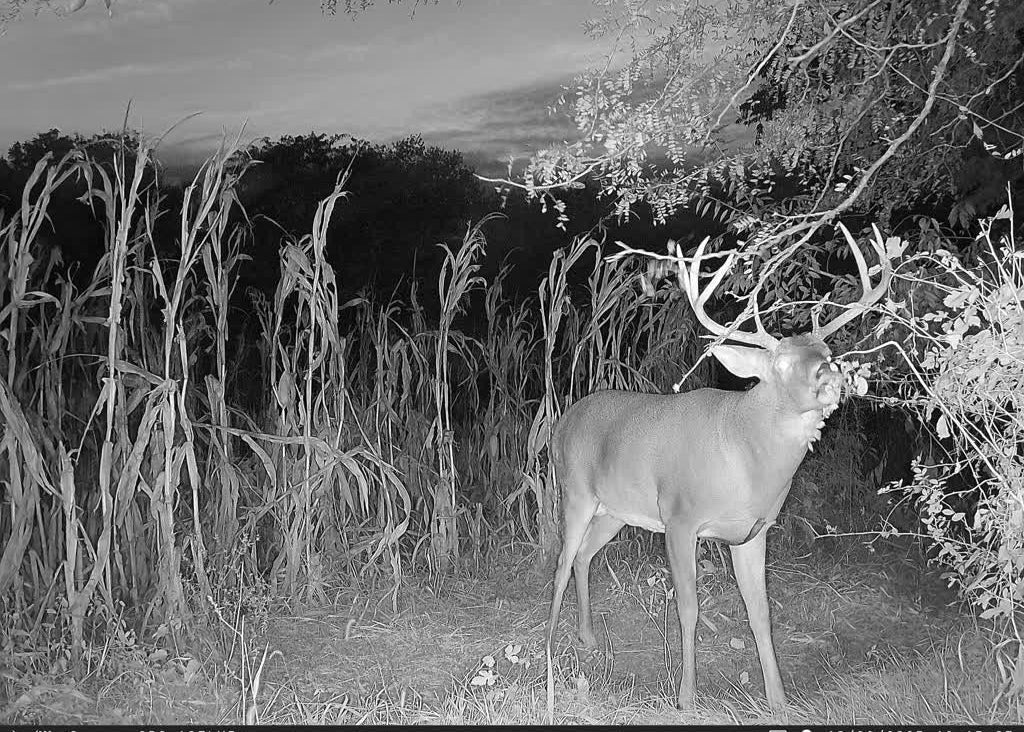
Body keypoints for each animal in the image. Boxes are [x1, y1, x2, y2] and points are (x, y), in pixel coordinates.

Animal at [546, 227, 893, 713]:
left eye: (827, 350)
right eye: (781, 364)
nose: (831, 379)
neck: (746, 461)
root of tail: (561, 423)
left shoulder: (753, 532)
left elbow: (760, 613)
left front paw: (778, 700)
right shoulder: (679, 518)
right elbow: (688, 607)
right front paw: (686, 698)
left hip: (616, 511)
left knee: (583, 556)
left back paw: (588, 638)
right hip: (575, 490)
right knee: (561, 560)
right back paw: (550, 643)